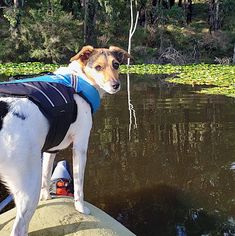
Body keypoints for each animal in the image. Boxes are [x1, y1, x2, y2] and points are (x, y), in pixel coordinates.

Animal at [0, 45, 130, 235]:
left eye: (116, 65)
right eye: (98, 67)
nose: (115, 85)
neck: (80, 79)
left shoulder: (50, 150)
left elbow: (46, 177)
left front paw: (47, 197)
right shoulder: (80, 147)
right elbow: (79, 186)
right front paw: (81, 208)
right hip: (28, 188)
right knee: (19, 228)